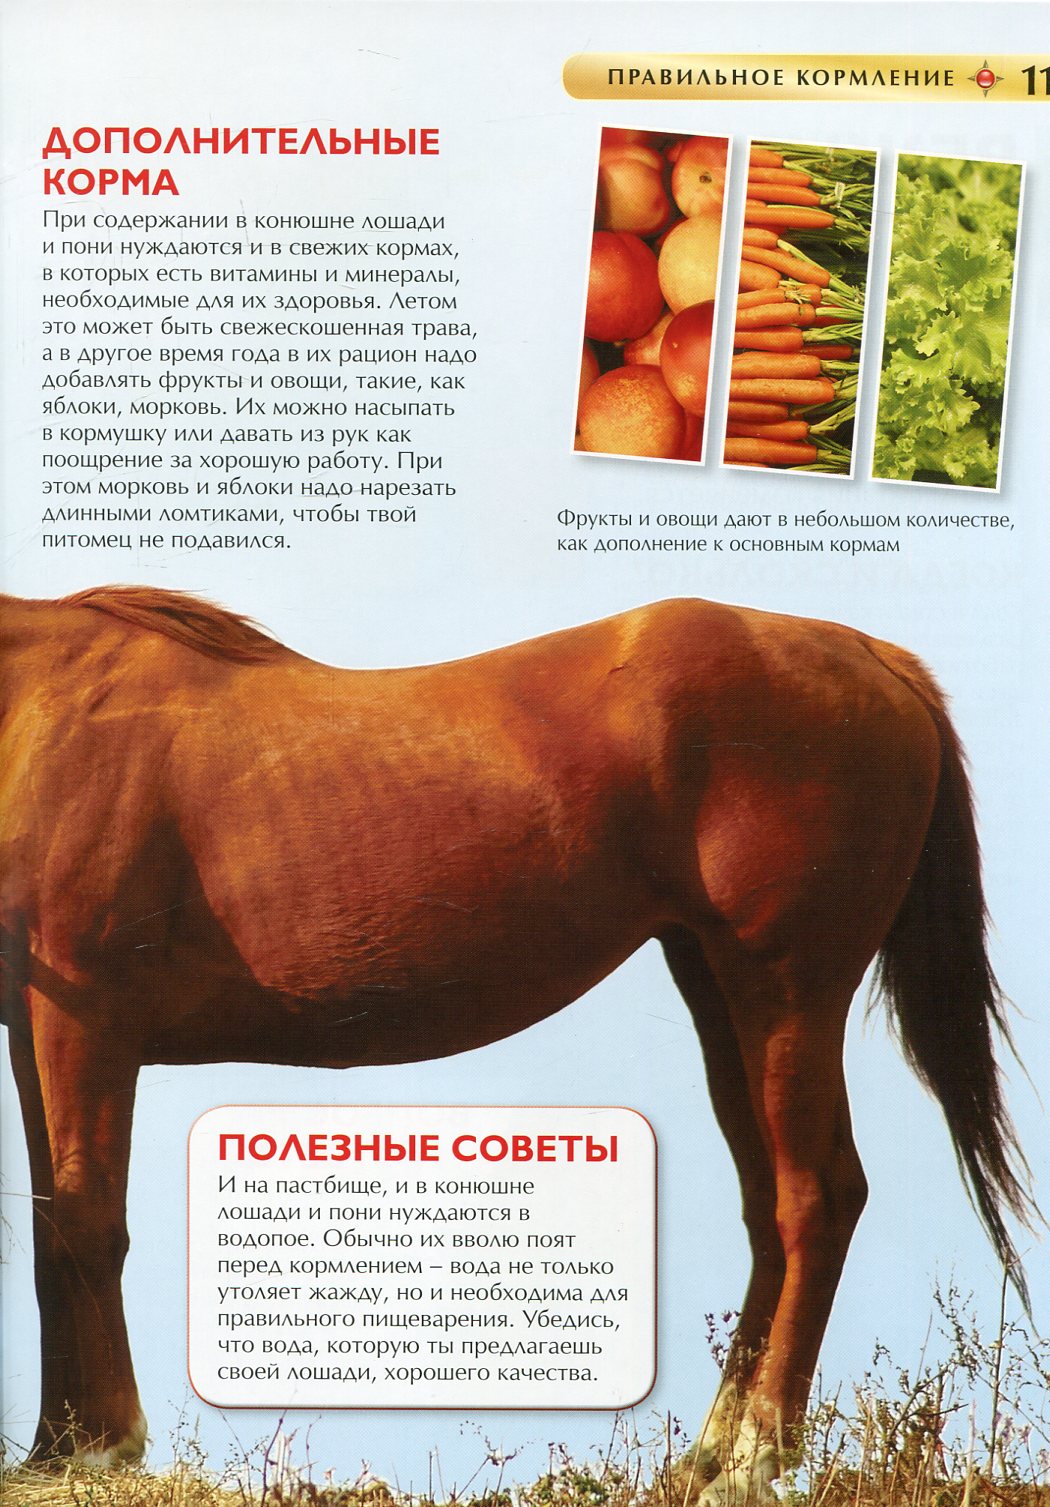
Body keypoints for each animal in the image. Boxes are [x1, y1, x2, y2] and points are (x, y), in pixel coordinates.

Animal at [0, 587, 1031, 1501]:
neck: (37, 719)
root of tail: (874, 659)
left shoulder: (87, 1021)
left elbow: (88, 1219)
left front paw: (102, 1445)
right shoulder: (34, 1026)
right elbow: (53, 1221)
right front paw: (53, 1447)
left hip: (788, 992)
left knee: (815, 1199)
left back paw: (754, 1458)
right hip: (720, 990)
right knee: (768, 1207)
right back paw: (707, 1454)